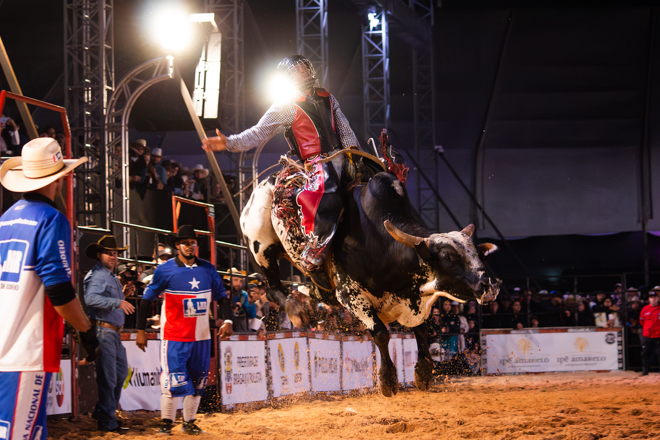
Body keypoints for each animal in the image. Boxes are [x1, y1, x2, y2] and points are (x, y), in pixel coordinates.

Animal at [242, 151, 500, 396]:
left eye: (478, 254)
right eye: (447, 257)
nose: (489, 286)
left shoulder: (416, 302)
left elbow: (421, 329)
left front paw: (424, 373)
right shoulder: (351, 296)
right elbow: (381, 333)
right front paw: (388, 379)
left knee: (307, 289)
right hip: (262, 247)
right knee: (273, 288)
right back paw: (297, 312)